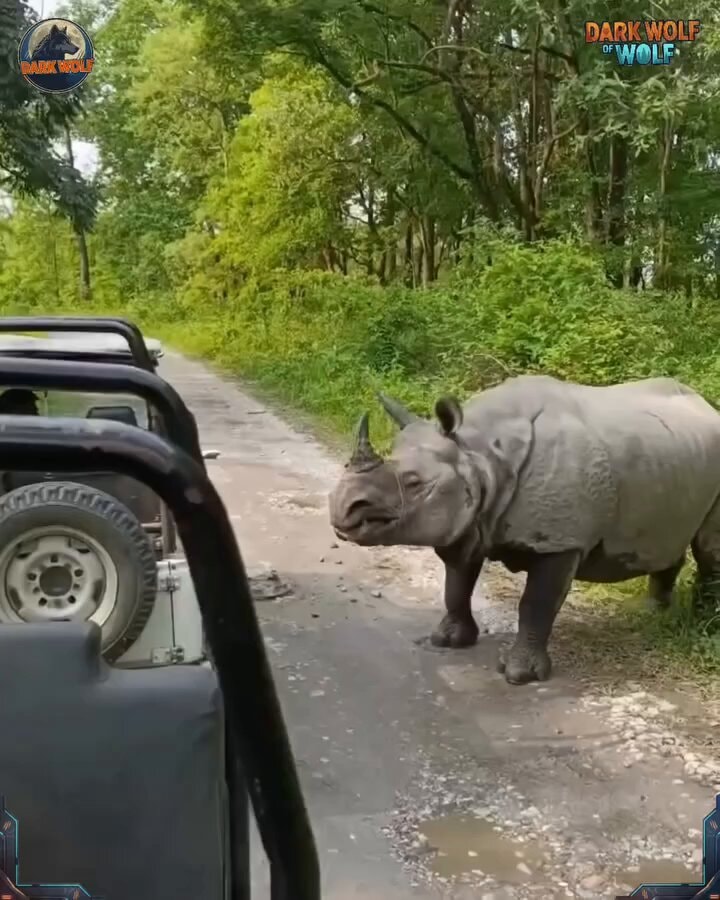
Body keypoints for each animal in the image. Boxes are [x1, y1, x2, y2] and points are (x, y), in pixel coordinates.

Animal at [328, 375, 720, 685]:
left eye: (413, 483)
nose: (342, 508)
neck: (481, 452)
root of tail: (707, 405)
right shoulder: (468, 521)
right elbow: (456, 584)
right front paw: (449, 640)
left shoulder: (560, 541)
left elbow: (536, 603)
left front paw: (519, 675)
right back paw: (652, 613)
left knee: (708, 548)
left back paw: (702, 623)